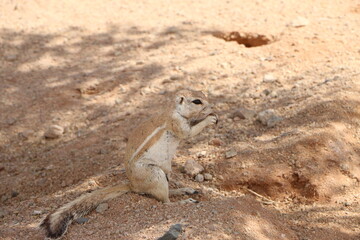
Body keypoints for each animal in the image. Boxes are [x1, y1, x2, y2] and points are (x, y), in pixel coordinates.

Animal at [40, 89, 218, 238]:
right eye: (196, 101)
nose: (212, 106)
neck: (174, 110)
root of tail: (132, 186)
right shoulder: (177, 123)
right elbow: (189, 133)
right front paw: (210, 119)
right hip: (155, 174)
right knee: (165, 202)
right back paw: (184, 201)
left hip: (164, 173)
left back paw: (185, 190)